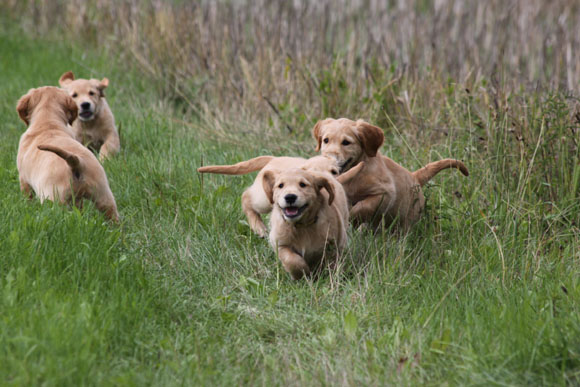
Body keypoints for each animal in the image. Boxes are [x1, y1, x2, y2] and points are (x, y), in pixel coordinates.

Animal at [16, 87, 120, 223]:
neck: (48, 123)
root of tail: (76, 161)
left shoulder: (24, 180)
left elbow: (28, 197)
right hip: (103, 194)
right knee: (112, 215)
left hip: (55, 199)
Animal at [199, 156, 362, 238]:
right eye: (311, 172)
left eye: (334, 172)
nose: (329, 181)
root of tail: (275, 157)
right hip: (264, 198)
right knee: (246, 197)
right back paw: (259, 228)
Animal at [312, 116, 466, 229]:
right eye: (326, 140)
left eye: (346, 142)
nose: (328, 159)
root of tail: (415, 177)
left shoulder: (386, 193)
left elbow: (362, 207)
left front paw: (351, 219)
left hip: (408, 217)